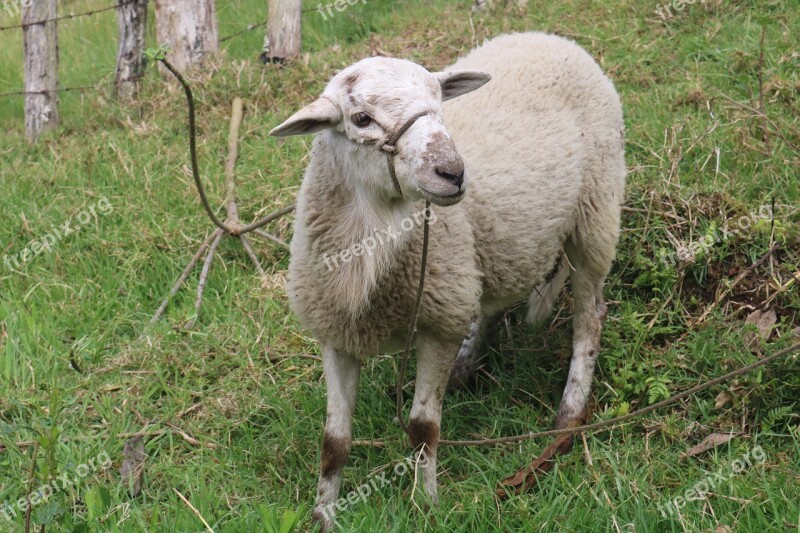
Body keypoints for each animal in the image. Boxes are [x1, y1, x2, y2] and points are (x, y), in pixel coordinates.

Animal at [272, 31, 628, 524]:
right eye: (361, 119)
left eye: (439, 102)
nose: (454, 172)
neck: (368, 246)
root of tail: (547, 36)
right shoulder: (336, 335)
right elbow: (334, 443)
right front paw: (322, 516)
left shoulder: (436, 326)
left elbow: (423, 429)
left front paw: (427, 507)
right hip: (487, 256)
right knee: (490, 300)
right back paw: (466, 365)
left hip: (595, 213)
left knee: (590, 315)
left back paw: (569, 414)